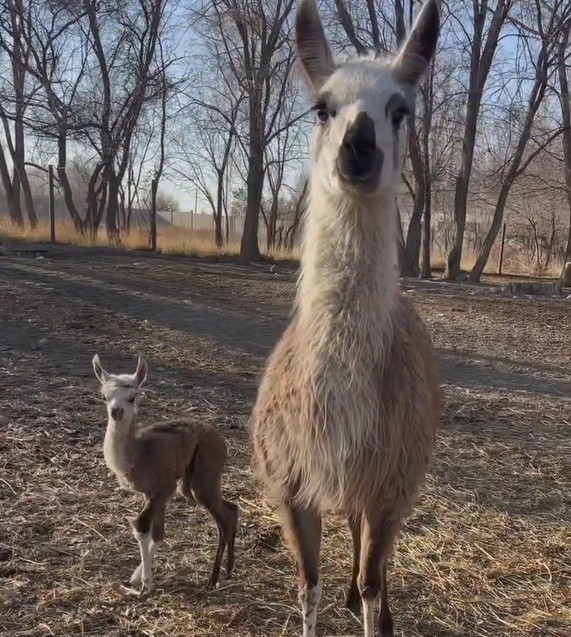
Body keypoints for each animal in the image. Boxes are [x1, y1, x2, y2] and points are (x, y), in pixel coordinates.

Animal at [92, 354, 238, 594]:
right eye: (105, 397)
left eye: (132, 397)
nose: (116, 412)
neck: (139, 453)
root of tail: (220, 437)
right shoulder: (153, 493)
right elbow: (157, 533)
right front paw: (135, 579)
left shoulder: (163, 488)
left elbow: (142, 528)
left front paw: (144, 584)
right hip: (190, 485)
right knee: (232, 511)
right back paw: (228, 570)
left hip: (204, 477)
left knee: (225, 518)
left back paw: (213, 579)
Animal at [251, 1, 442, 636]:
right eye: (321, 107)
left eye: (400, 110)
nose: (358, 145)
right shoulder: (290, 487)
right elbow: (306, 587)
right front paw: (328, 601)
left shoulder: (393, 485)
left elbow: (375, 579)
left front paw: (372, 611)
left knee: (370, 558)